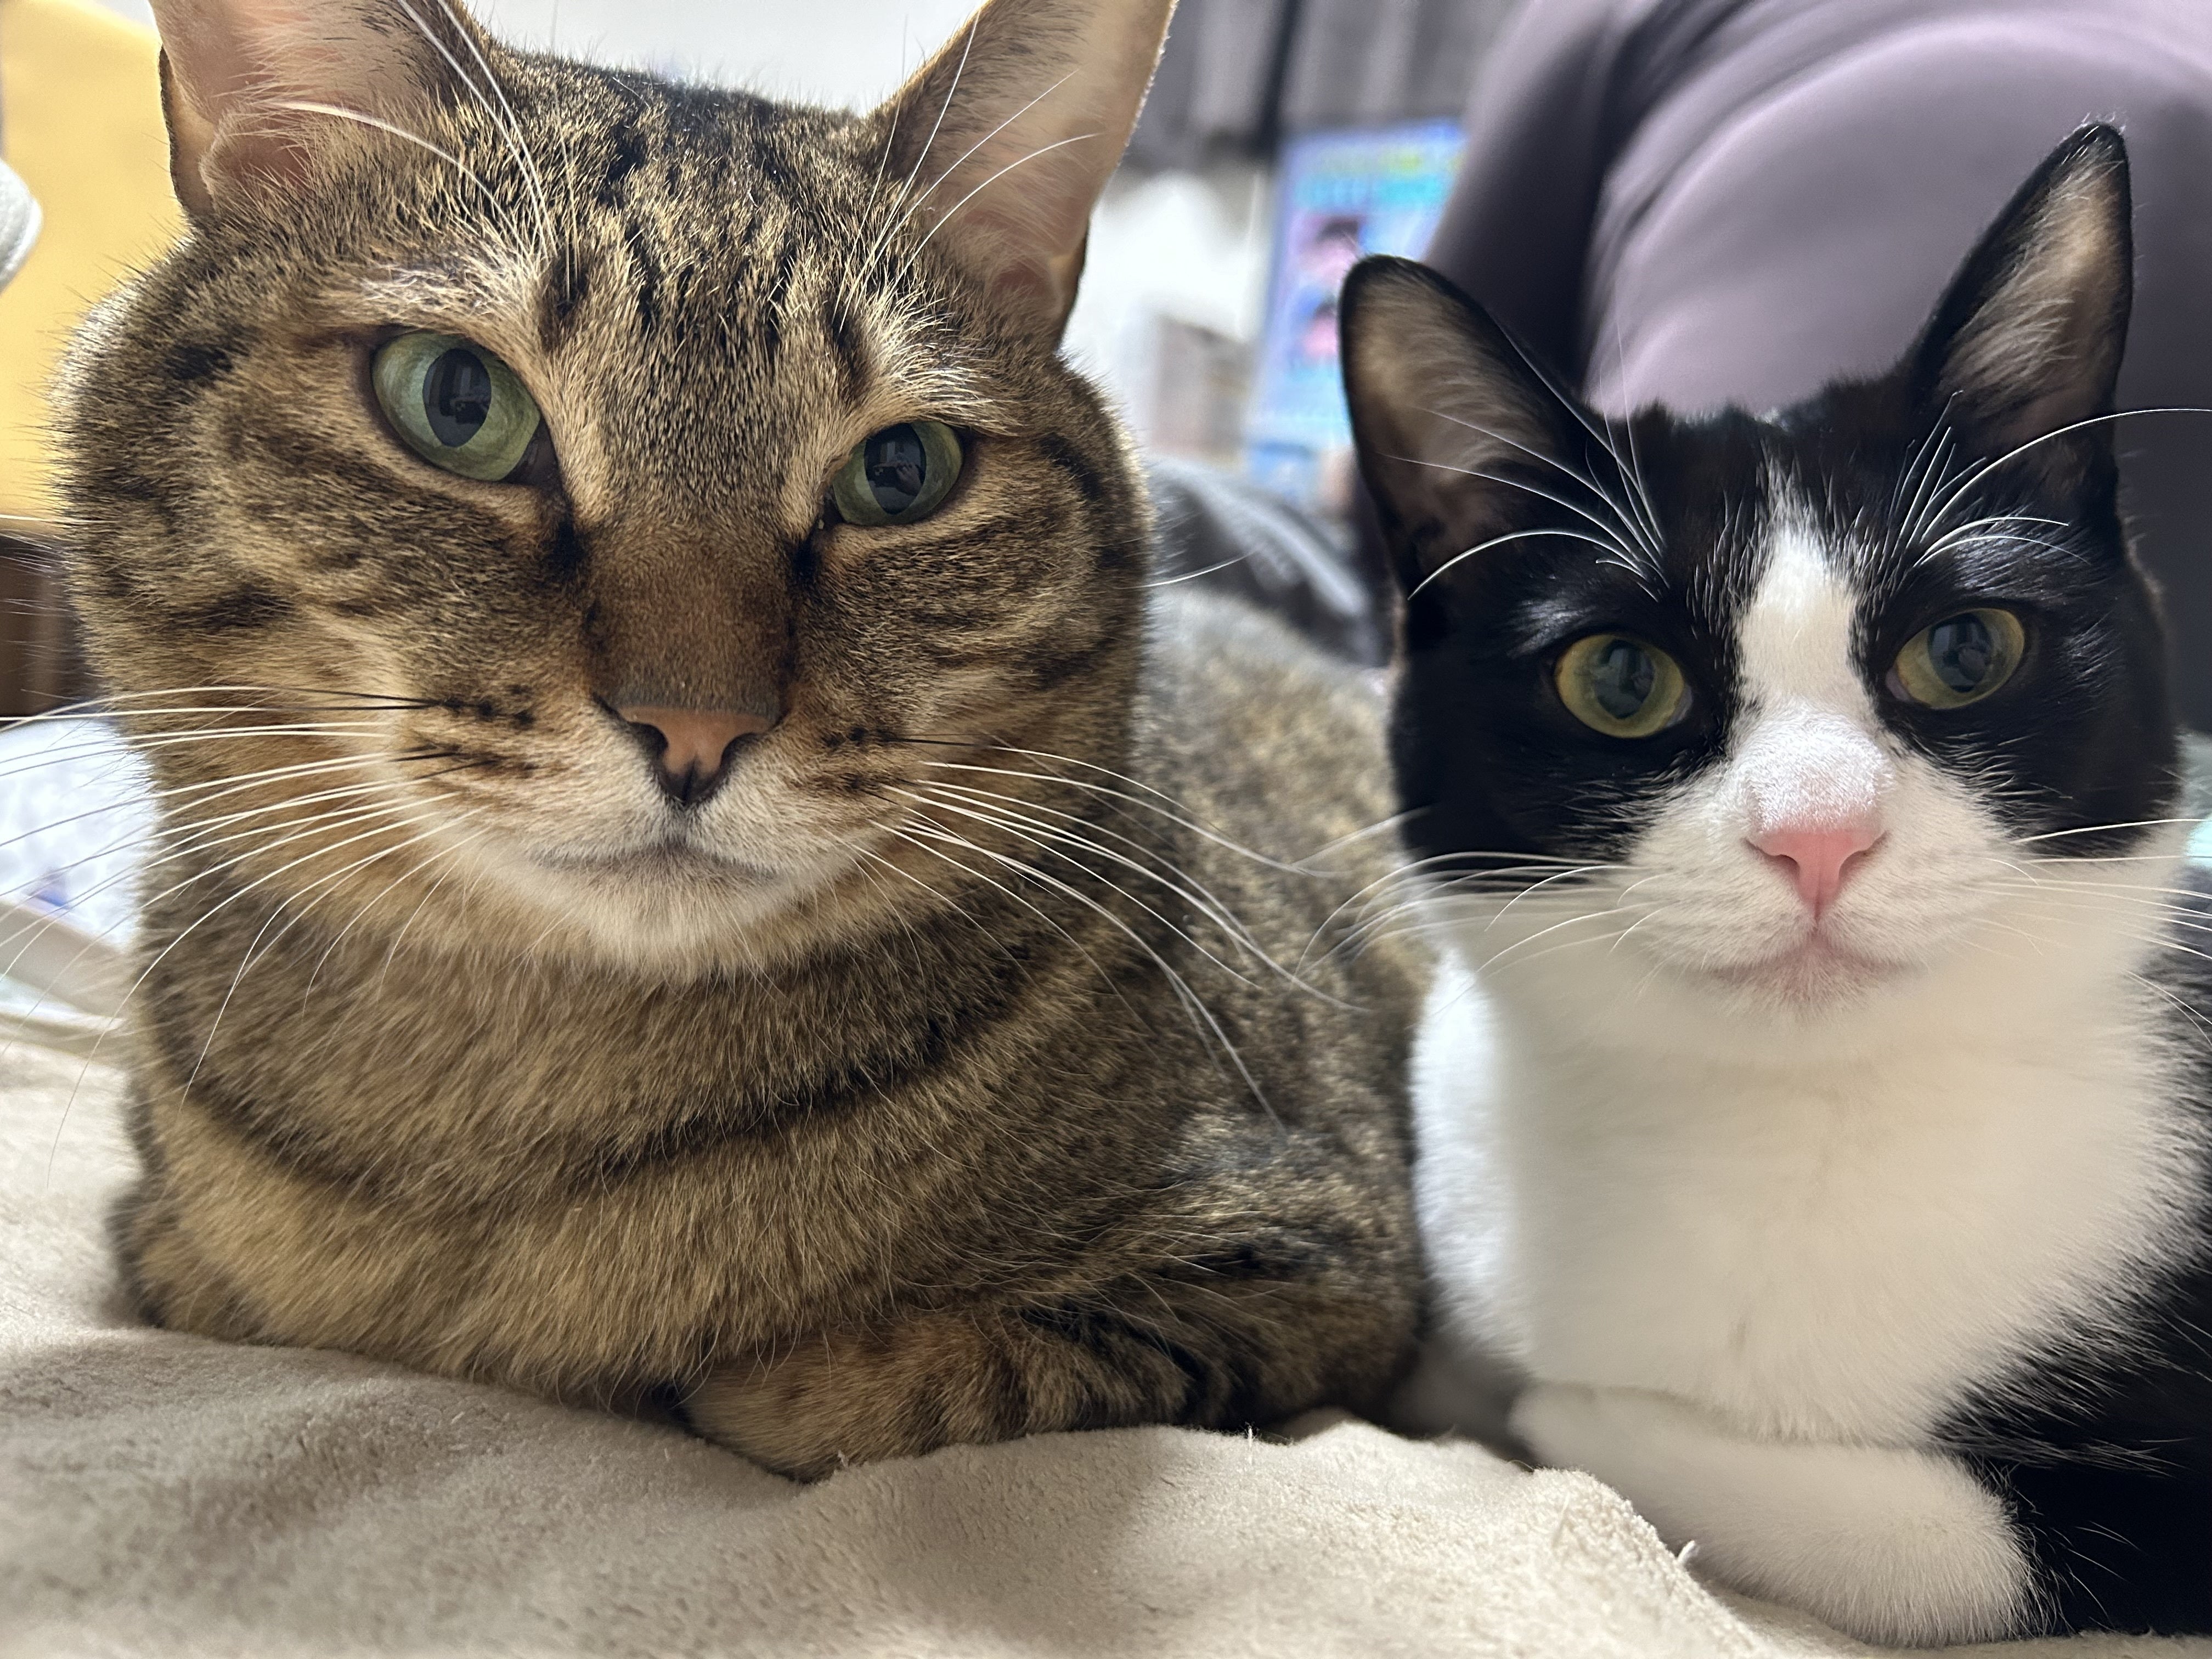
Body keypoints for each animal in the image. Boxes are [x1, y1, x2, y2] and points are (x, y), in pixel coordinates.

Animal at [57, 0, 1424, 1479]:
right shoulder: (157, 1239)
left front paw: (750, 1373)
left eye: (904, 472)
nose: (696, 724)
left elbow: (889, 1387)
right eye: (456, 400)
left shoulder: (1317, 1257)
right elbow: (186, 1264)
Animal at [1342, 125, 2212, 1642]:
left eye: (1965, 650)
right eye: (1619, 680)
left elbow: (1938, 1545)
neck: (1784, 1117)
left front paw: (1573, 1410)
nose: (1819, 834)